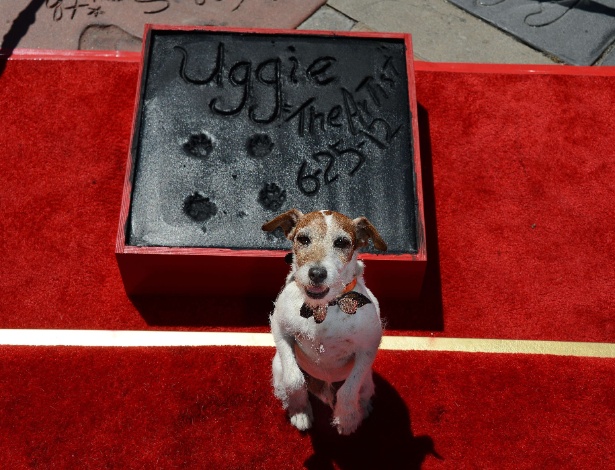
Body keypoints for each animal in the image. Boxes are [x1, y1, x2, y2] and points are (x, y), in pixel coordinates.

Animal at [262, 207, 388, 436]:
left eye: (342, 242)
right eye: (303, 239)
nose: (317, 273)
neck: (324, 308)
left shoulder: (368, 348)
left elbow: (348, 391)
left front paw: (346, 419)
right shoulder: (280, 330)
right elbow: (294, 380)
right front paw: (300, 410)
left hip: (367, 379)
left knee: (361, 390)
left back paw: (362, 407)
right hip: (277, 366)